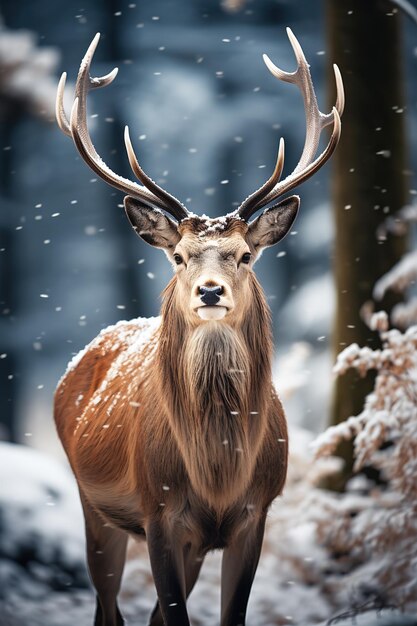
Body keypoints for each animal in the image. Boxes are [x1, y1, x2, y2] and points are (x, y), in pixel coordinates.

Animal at [53, 28, 342, 624]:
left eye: (245, 255)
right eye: (181, 256)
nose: (211, 291)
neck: (217, 476)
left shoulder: (255, 514)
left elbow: (224, 614)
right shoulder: (158, 511)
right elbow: (172, 612)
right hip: (93, 505)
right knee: (109, 608)